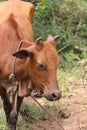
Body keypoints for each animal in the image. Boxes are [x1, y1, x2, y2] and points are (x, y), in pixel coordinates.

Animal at [0, 0, 61, 130]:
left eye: (57, 64)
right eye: (40, 65)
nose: (56, 94)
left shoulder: (23, 83)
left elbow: (14, 114)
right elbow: (7, 107)